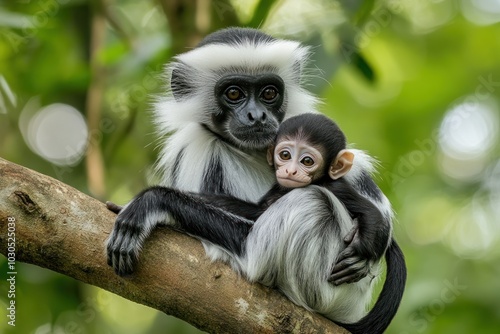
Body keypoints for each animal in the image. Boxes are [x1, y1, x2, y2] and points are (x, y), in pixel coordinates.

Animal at [106, 113, 406, 332]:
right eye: (285, 155)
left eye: (307, 160)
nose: (291, 170)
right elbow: (254, 209)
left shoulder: (335, 185)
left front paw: (152, 201)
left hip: (325, 289)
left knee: (311, 203)